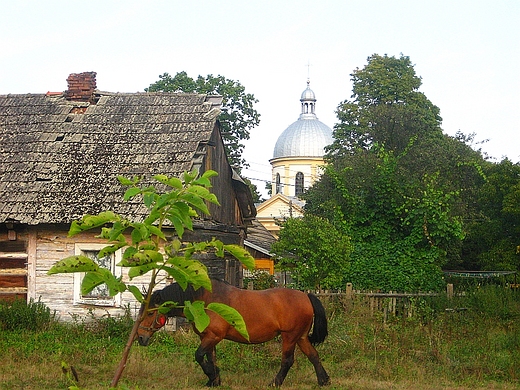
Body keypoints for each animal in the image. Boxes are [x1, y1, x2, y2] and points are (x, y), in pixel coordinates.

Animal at [137, 278, 330, 386]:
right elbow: (210, 358)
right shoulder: (208, 338)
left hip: (289, 337)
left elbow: (199, 356)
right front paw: (214, 381)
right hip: (301, 337)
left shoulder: (214, 336)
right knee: (314, 356)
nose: (140, 337)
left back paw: (275, 383)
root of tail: (306, 296)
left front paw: (212, 376)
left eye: (150, 313)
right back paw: (324, 381)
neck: (204, 300)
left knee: (287, 361)